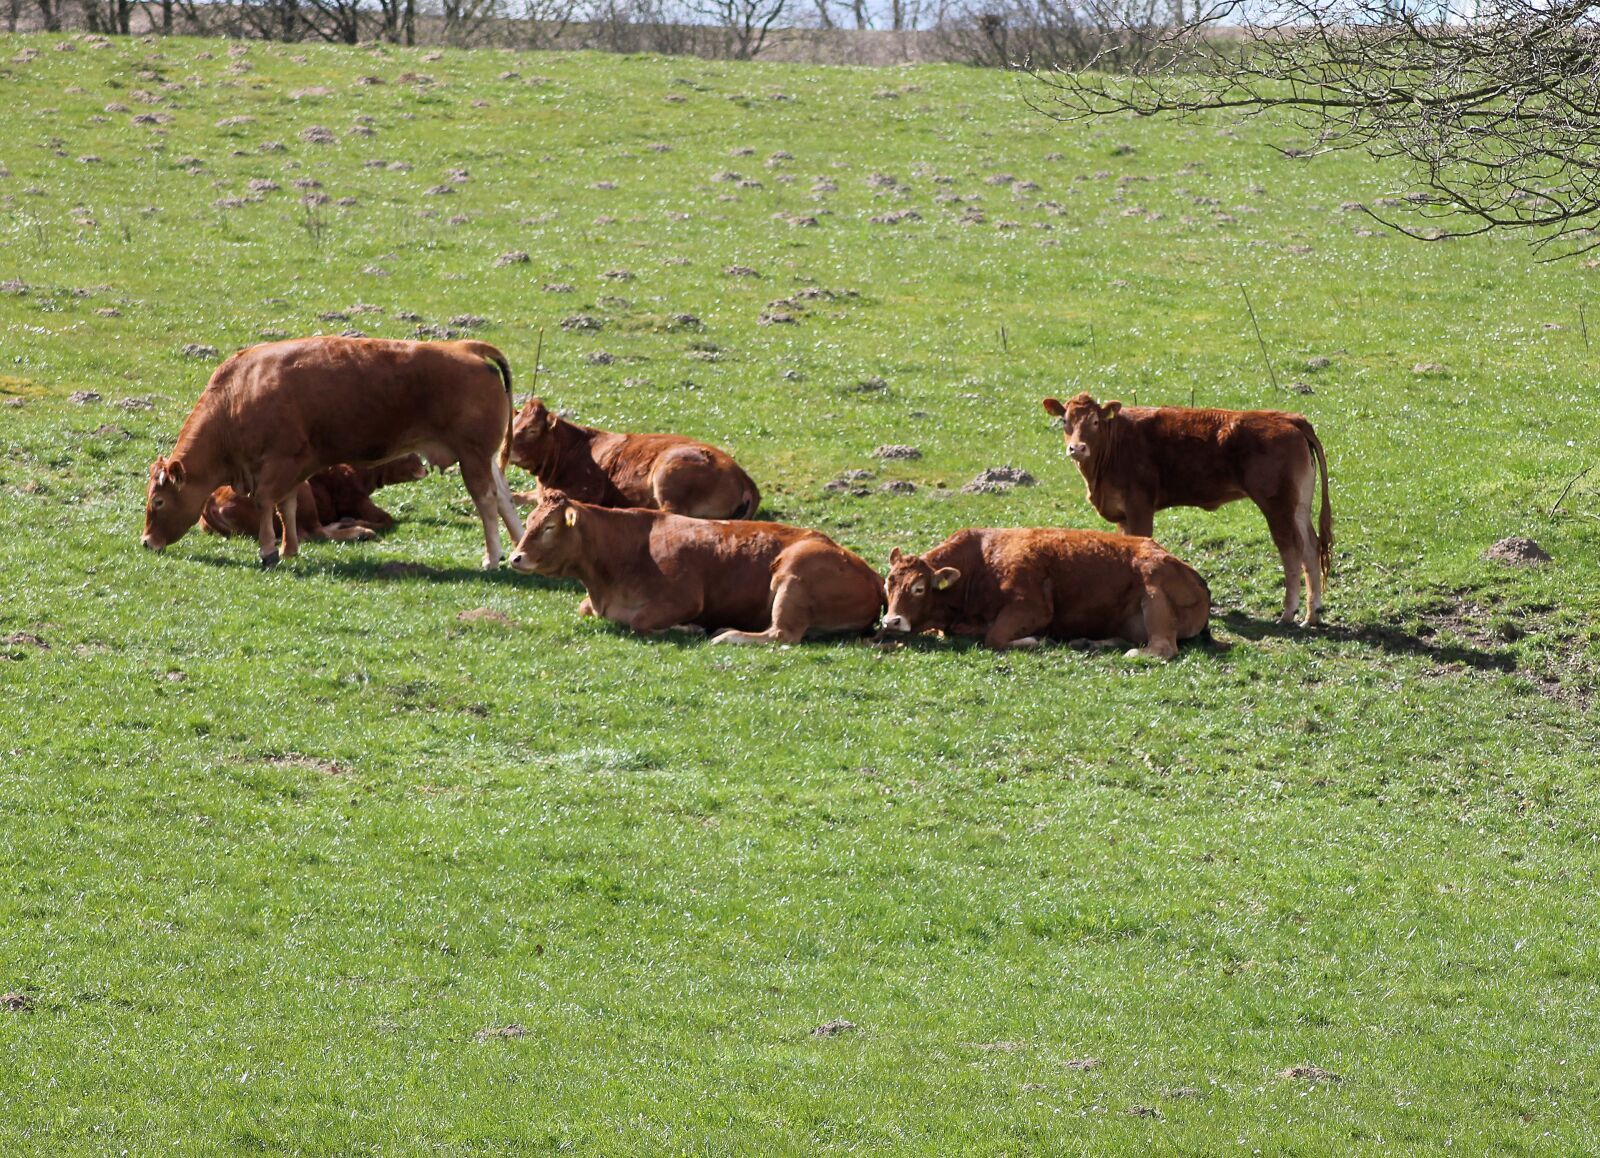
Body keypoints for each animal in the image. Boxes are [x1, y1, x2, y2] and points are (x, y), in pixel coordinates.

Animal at [201, 455, 429, 543]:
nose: (425, 468)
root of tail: (212, 501)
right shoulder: (356, 499)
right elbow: (388, 519)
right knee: (313, 533)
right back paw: (360, 531)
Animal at [507, 490, 884, 645]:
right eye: (531, 520)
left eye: (550, 527)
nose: (516, 558)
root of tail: (873, 575)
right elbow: (585, 608)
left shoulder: (684, 597)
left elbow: (640, 622)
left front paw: (687, 629)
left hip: (796, 571)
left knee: (782, 635)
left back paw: (727, 635)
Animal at [509, 397, 759, 520]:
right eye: (514, 424)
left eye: (532, 430)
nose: (505, 447)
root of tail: (744, 477)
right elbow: (517, 495)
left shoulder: (588, 491)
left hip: (668, 471)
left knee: (671, 513)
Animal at [880, 528, 1213, 659]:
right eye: (887, 585)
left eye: (919, 588)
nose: (891, 621)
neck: (982, 560)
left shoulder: (1032, 607)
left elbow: (995, 638)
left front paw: (1035, 641)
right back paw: (1089, 642)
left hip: (1153, 586)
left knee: (1163, 647)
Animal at [1041, 393, 1332, 626]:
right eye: (1065, 421)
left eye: (1095, 421)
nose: (1077, 448)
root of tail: (1287, 417)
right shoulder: (1123, 515)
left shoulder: (1140, 507)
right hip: (1299, 506)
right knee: (1311, 546)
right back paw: (1312, 614)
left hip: (1277, 505)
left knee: (1291, 550)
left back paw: (1288, 614)